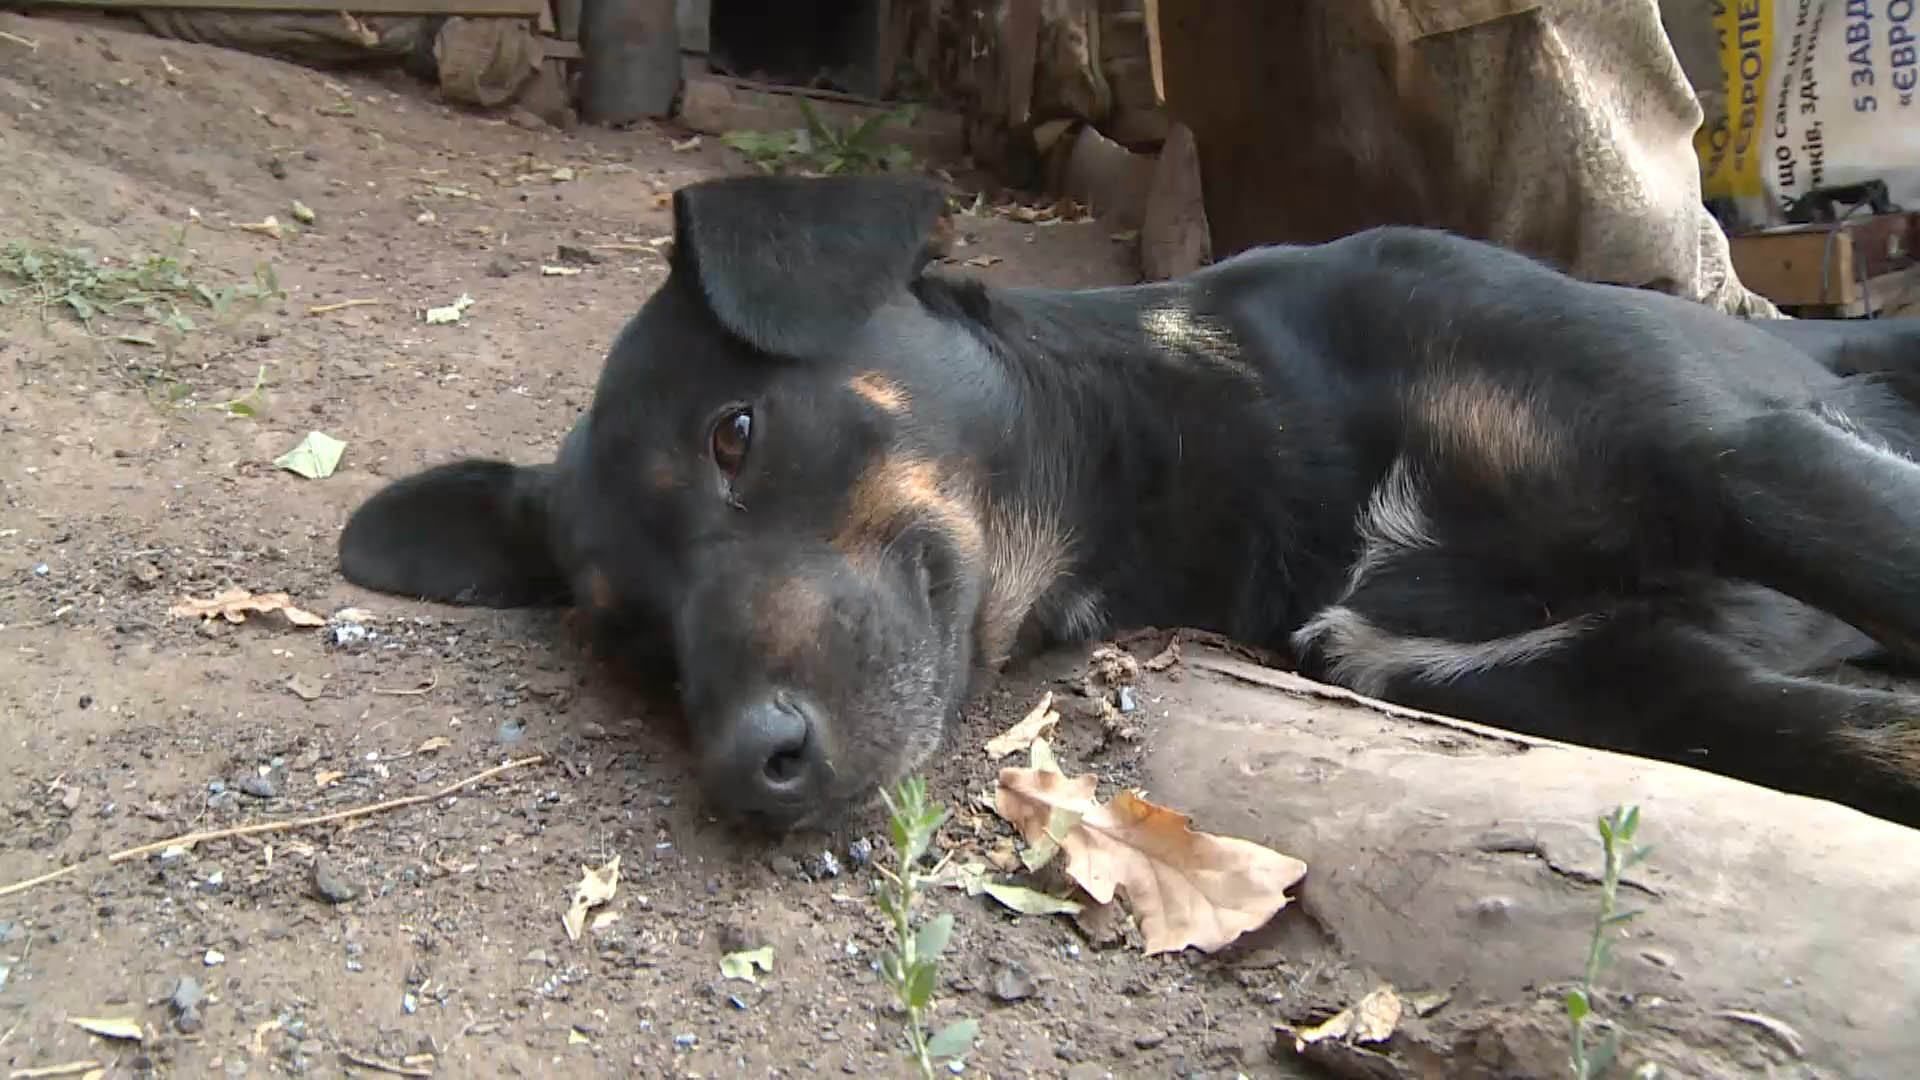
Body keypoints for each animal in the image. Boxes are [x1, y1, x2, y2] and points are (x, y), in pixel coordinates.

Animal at [337, 171, 1920, 826]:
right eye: (627, 633)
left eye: (735, 434)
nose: (742, 770)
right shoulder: (1583, 676)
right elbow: (1844, 738)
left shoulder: (1735, 457)